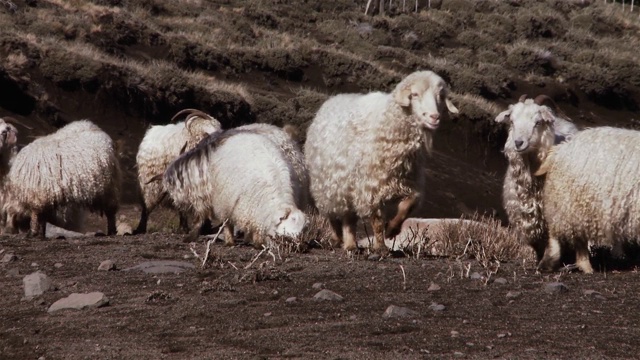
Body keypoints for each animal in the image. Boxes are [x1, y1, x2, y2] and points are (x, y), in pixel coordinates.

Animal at [304, 69, 460, 250]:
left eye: (440, 96)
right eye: (414, 94)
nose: (434, 117)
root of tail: (333, 100)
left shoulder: (408, 181)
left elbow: (407, 206)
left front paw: (392, 229)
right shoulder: (371, 186)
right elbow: (377, 221)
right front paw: (380, 247)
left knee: (349, 217)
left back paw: (351, 244)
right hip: (331, 184)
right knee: (339, 215)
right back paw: (343, 241)